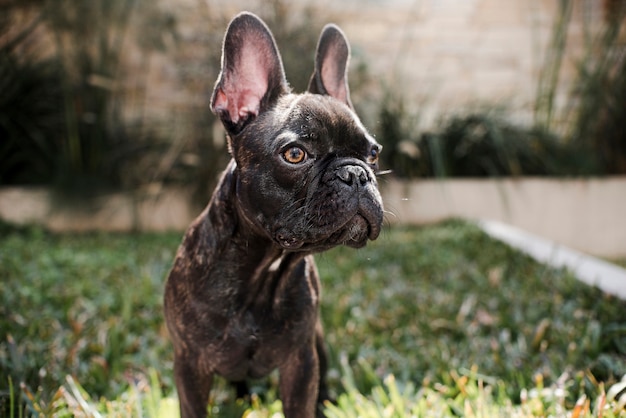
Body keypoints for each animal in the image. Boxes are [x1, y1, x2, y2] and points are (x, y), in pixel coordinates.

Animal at [163, 11, 382, 416]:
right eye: (295, 154)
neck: (265, 264)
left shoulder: (301, 361)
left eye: (373, 153)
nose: (356, 174)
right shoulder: (189, 365)